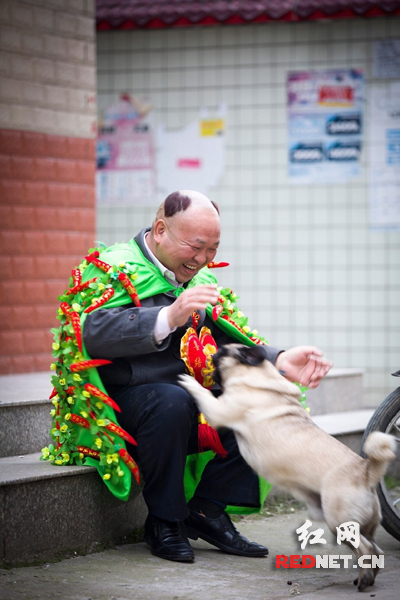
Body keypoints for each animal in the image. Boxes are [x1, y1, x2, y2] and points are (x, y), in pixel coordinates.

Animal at [179, 342, 396, 592]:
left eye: (222, 352)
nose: (213, 352)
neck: (258, 375)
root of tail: (366, 472)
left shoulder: (218, 411)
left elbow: (202, 393)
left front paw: (187, 380)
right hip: (356, 523)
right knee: (376, 551)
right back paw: (366, 578)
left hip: (340, 522)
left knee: (367, 549)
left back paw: (364, 580)